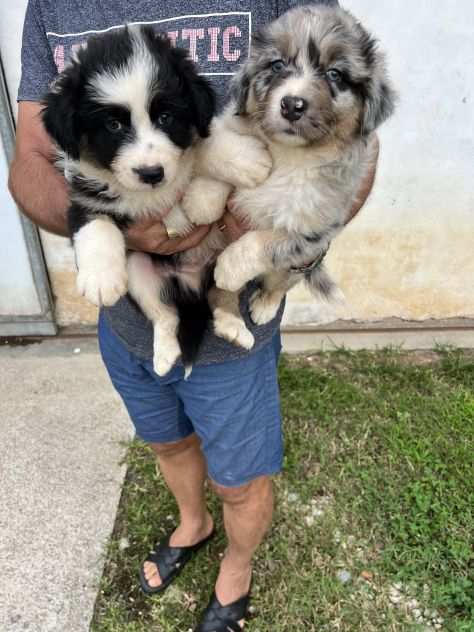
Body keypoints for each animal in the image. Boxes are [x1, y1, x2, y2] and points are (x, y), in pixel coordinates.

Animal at [40, 27, 230, 376]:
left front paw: (201, 201)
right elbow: (96, 226)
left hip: (223, 260)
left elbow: (213, 163)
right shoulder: (84, 196)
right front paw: (100, 279)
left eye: (166, 117)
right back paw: (166, 356)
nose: (151, 173)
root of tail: (190, 282)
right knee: (166, 315)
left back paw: (236, 327)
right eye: (113, 125)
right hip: (139, 269)